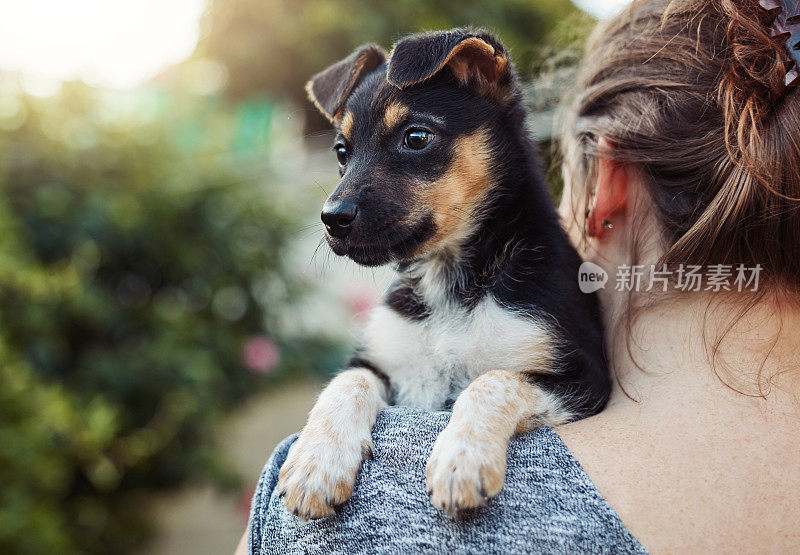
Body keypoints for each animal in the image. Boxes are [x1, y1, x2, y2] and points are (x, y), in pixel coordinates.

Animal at [278, 28, 608, 520]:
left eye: (416, 137)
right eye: (341, 151)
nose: (331, 218)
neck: (449, 282)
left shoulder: (585, 379)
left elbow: (494, 380)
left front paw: (462, 459)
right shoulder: (382, 362)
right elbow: (343, 384)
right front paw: (315, 462)